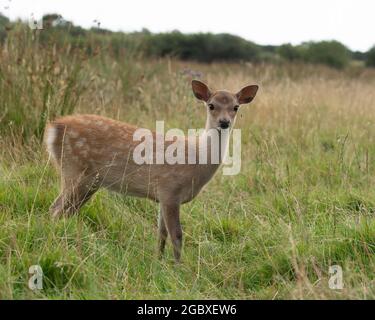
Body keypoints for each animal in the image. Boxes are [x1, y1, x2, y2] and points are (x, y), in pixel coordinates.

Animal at [44, 80, 258, 262]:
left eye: (236, 107)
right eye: (211, 105)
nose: (224, 122)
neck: (196, 161)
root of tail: (53, 129)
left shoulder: (162, 196)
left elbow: (161, 233)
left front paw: (159, 261)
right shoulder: (170, 190)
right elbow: (177, 235)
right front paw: (179, 268)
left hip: (88, 181)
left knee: (65, 211)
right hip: (74, 170)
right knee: (55, 209)